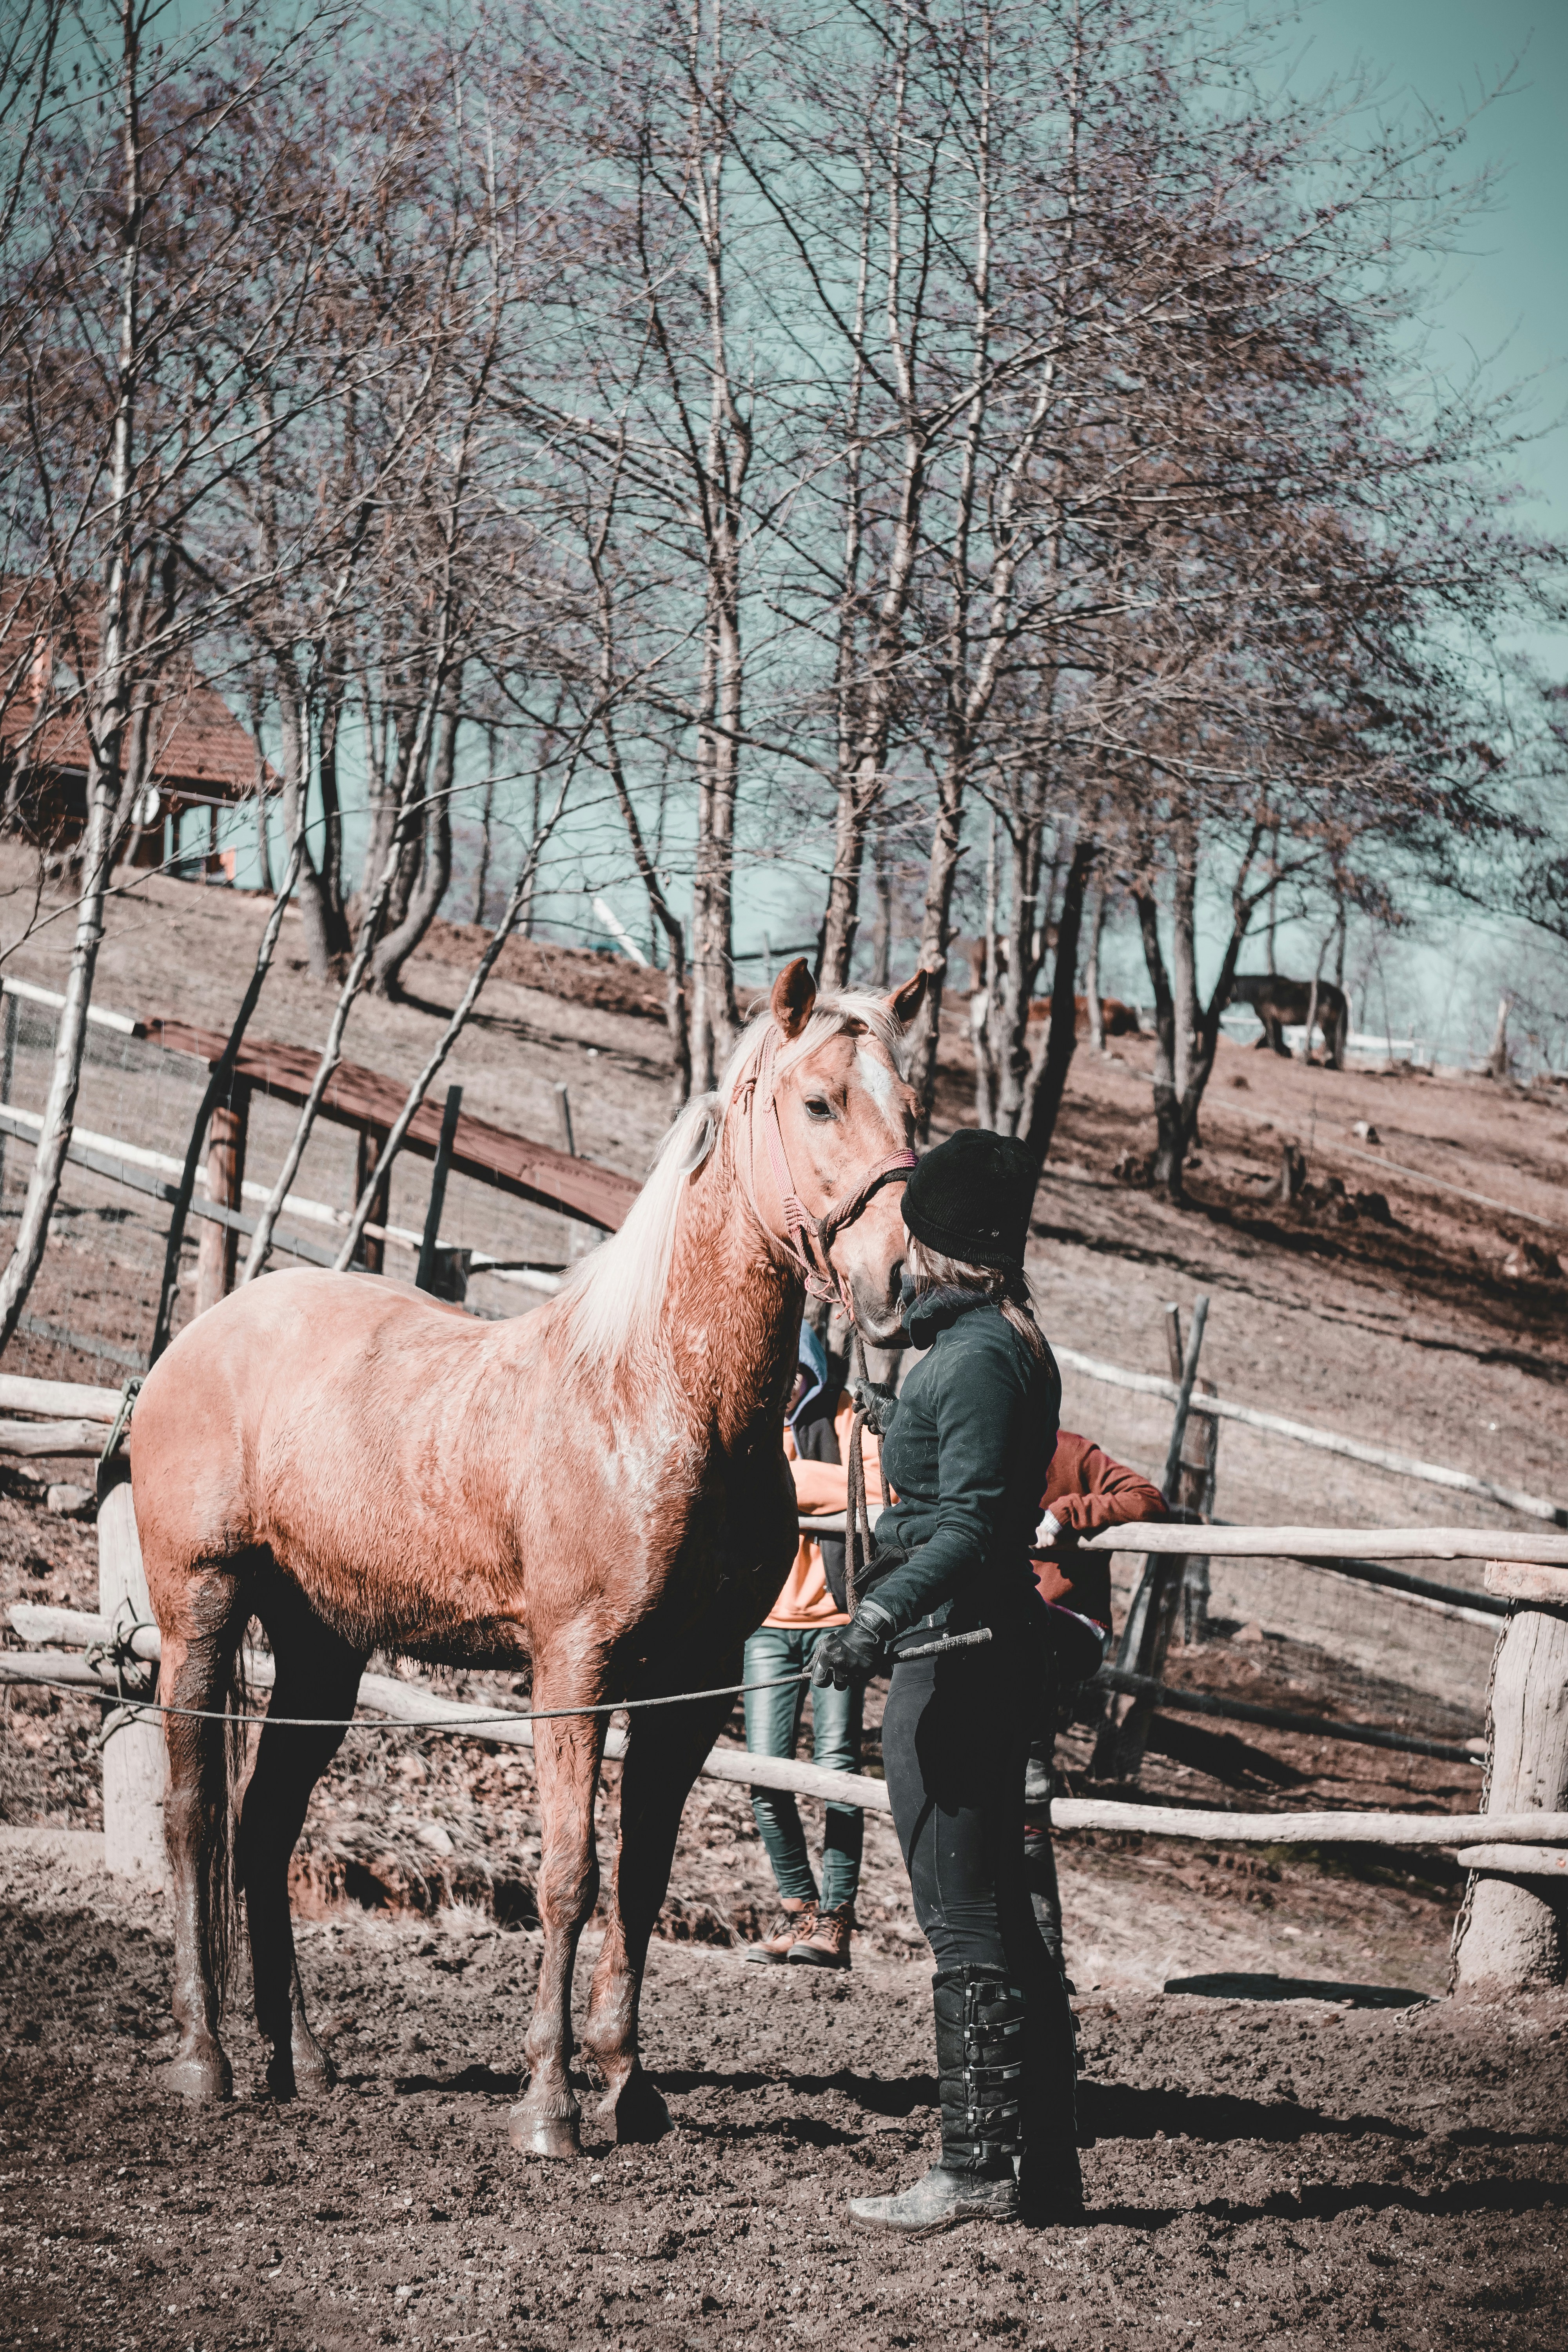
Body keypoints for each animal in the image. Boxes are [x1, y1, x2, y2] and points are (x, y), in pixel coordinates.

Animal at [130, 959, 924, 2159]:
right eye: (821, 1103)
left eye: (913, 1109)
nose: (901, 1282)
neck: (664, 1396)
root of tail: (203, 1333)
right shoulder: (573, 1668)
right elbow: (569, 1873)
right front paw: (550, 2105)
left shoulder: (692, 1685)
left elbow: (642, 1877)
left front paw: (628, 2086)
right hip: (203, 1612)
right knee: (190, 1817)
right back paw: (202, 2057)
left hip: (324, 1648)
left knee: (263, 1828)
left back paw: (301, 2060)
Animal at [1225, 972, 1348, 1069]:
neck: (1262, 991)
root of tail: (1338, 993)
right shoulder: (1276, 1022)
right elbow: (1276, 1037)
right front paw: (1284, 1052)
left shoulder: (1268, 1019)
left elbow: (1271, 1037)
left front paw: (1276, 1052)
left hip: (1325, 1024)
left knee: (1331, 1041)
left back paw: (1328, 1062)